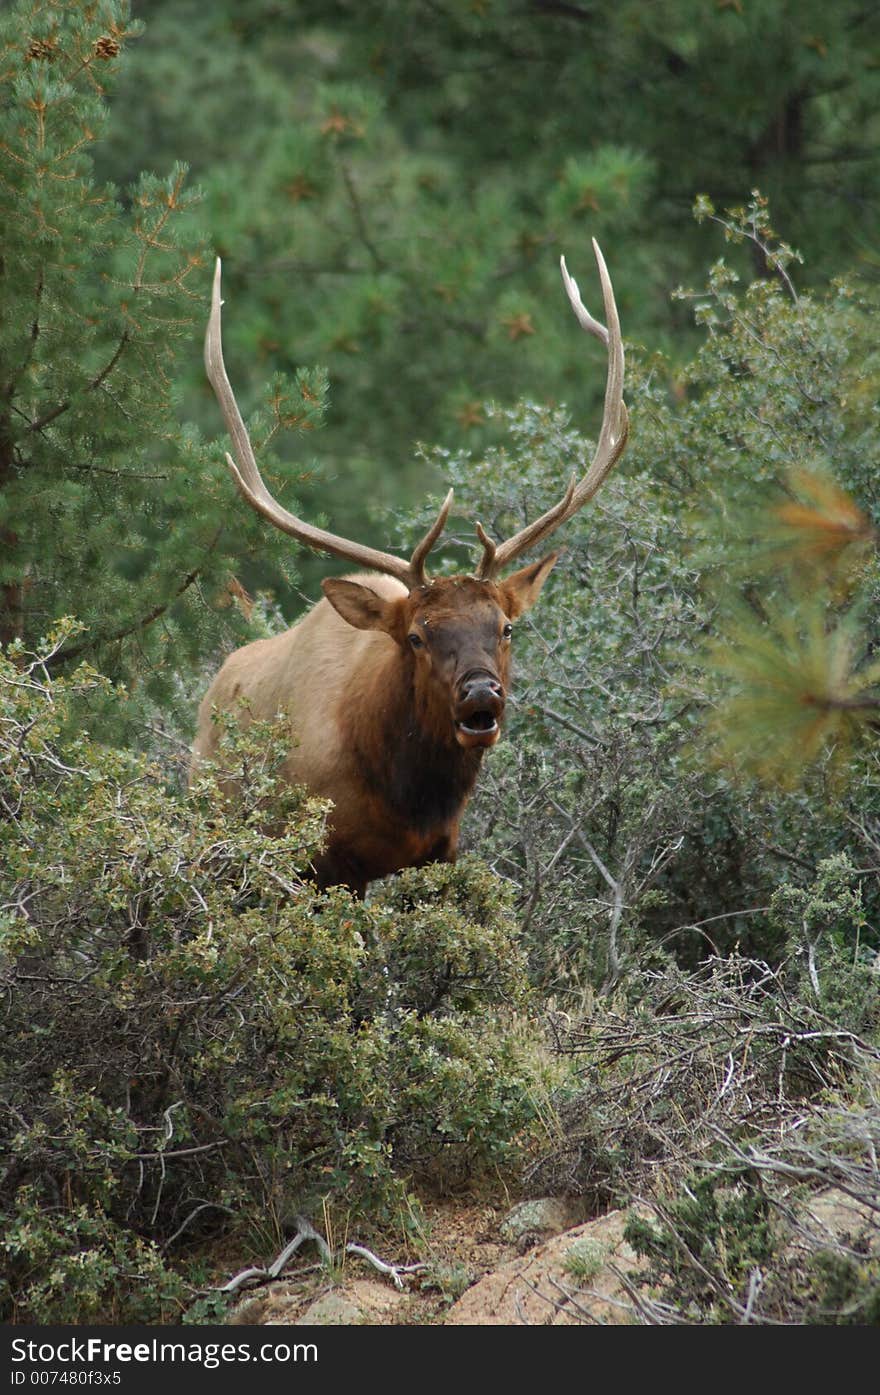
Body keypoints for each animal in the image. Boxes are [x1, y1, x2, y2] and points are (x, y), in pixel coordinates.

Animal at [192, 242, 627, 892]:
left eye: (506, 628)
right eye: (417, 636)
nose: (481, 692)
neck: (404, 797)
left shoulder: (440, 852)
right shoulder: (320, 860)